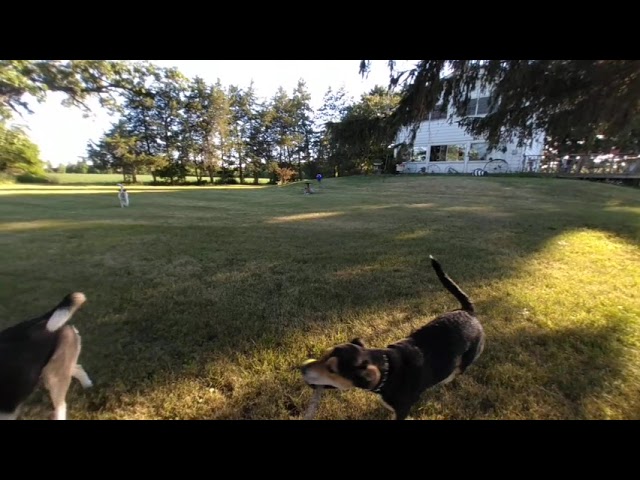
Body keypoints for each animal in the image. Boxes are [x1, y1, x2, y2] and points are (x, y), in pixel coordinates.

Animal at [0, 292, 93, 420]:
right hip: (52, 370)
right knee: (77, 368)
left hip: (53, 377)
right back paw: (87, 384)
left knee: (61, 406)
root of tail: (43, 319)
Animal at [300, 256, 484, 418]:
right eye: (324, 354)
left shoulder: (402, 410)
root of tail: (468, 311)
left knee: (456, 372)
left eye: (332, 370)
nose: (302, 368)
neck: (387, 368)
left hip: (467, 358)